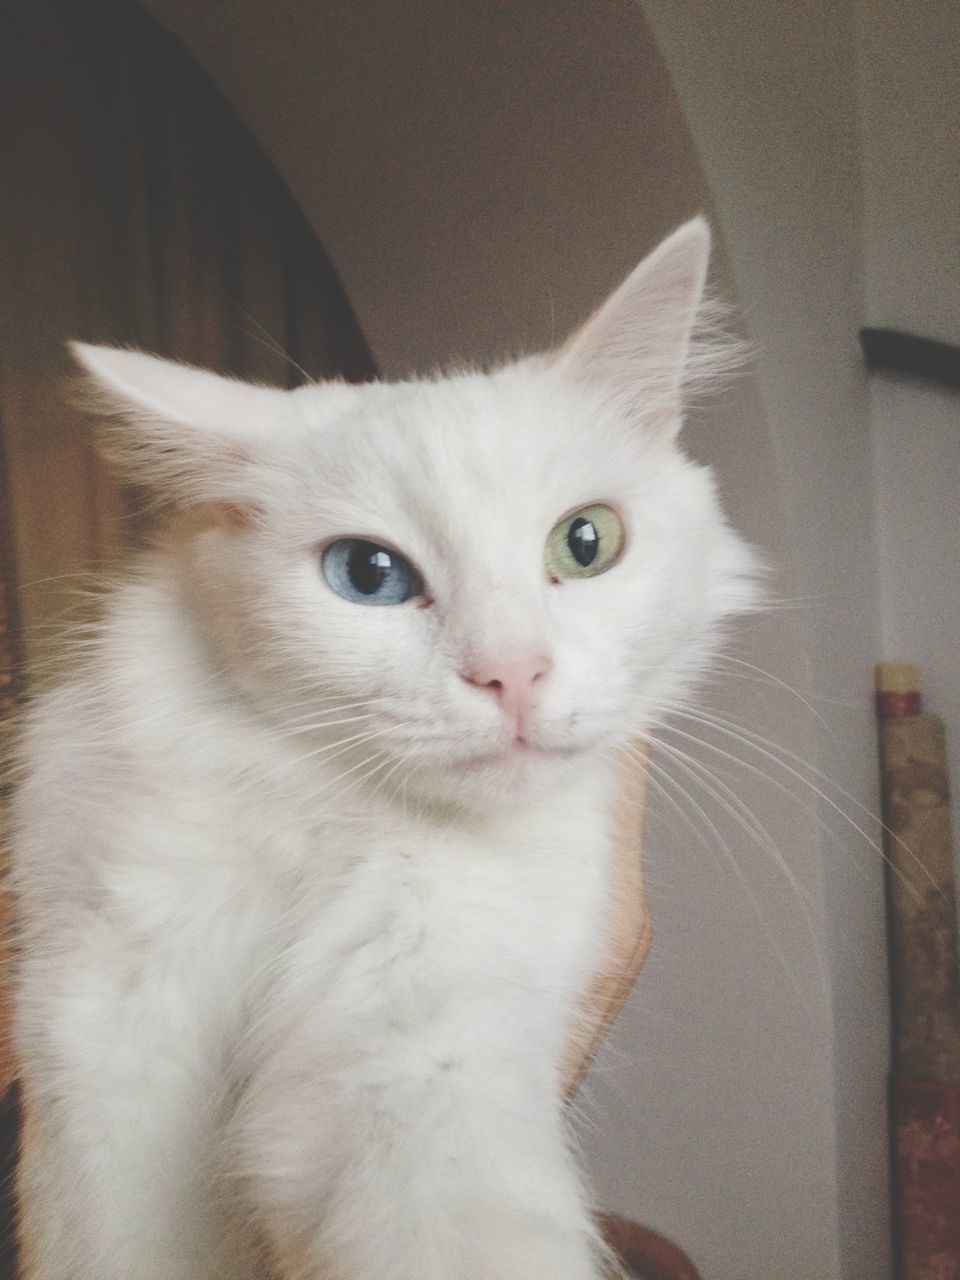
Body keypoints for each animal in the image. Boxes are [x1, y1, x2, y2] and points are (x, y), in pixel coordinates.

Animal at [7, 222, 757, 1280]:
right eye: (368, 575)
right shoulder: (106, 990)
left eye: (587, 542)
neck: (317, 807)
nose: (512, 673)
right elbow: (108, 1222)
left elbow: (443, 1195)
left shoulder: (426, 1001)